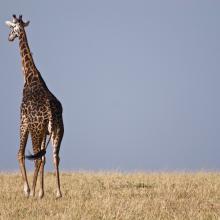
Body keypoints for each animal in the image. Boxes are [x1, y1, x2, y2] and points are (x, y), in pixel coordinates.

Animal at [5, 14, 63, 199]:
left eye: (11, 28)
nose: (9, 38)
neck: (30, 76)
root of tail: (51, 111)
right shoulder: (46, 131)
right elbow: (45, 159)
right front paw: (41, 192)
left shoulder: (23, 120)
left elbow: (20, 154)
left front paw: (28, 190)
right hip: (57, 131)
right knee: (54, 157)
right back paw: (58, 192)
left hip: (36, 130)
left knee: (36, 157)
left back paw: (32, 192)